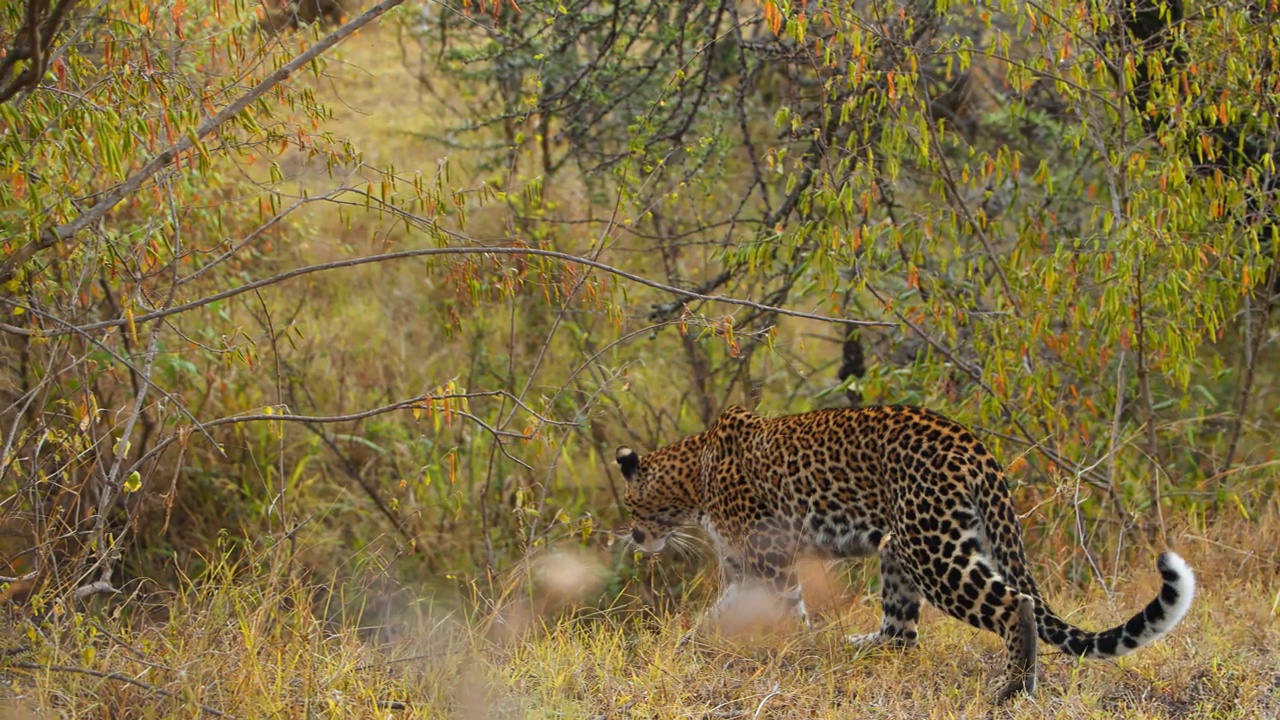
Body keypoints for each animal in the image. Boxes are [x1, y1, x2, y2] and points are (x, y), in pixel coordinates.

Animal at [614, 404, 1192, 702]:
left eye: (629, 504)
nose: (635, 538)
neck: (693, 477)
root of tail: (973, 444)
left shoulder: (768, 564)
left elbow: (776, 614)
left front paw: (789, 655)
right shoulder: (744, 571)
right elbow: (719, 616)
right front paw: (685, 650)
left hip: (931, 549)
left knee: (1016, 604)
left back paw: (1011, 689)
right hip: (905, 547)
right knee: (902, 634)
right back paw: (855, 646)